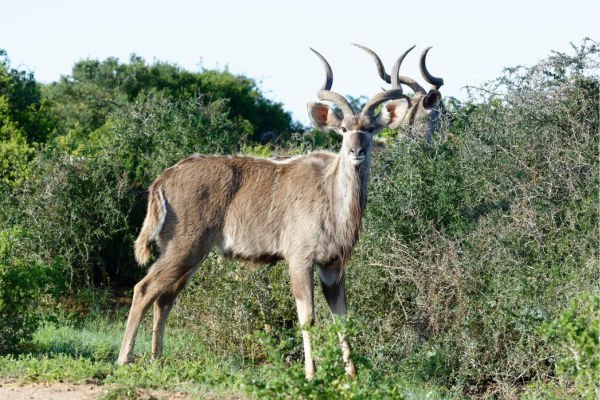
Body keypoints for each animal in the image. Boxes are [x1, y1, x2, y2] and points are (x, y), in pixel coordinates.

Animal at [117, 47, 408, 378]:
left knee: (164, 298)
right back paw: (124, 359)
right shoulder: (300, 260)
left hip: (190, 255)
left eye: (370, 129)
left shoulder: (333, 266)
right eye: (344, 129)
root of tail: (163, 179)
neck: (331, 196)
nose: (356, 151)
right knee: (144, 289)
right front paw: (311, 374)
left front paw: (352, 376)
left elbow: (341, 318)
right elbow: (308, 317)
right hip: (183, 249)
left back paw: (157, 360)